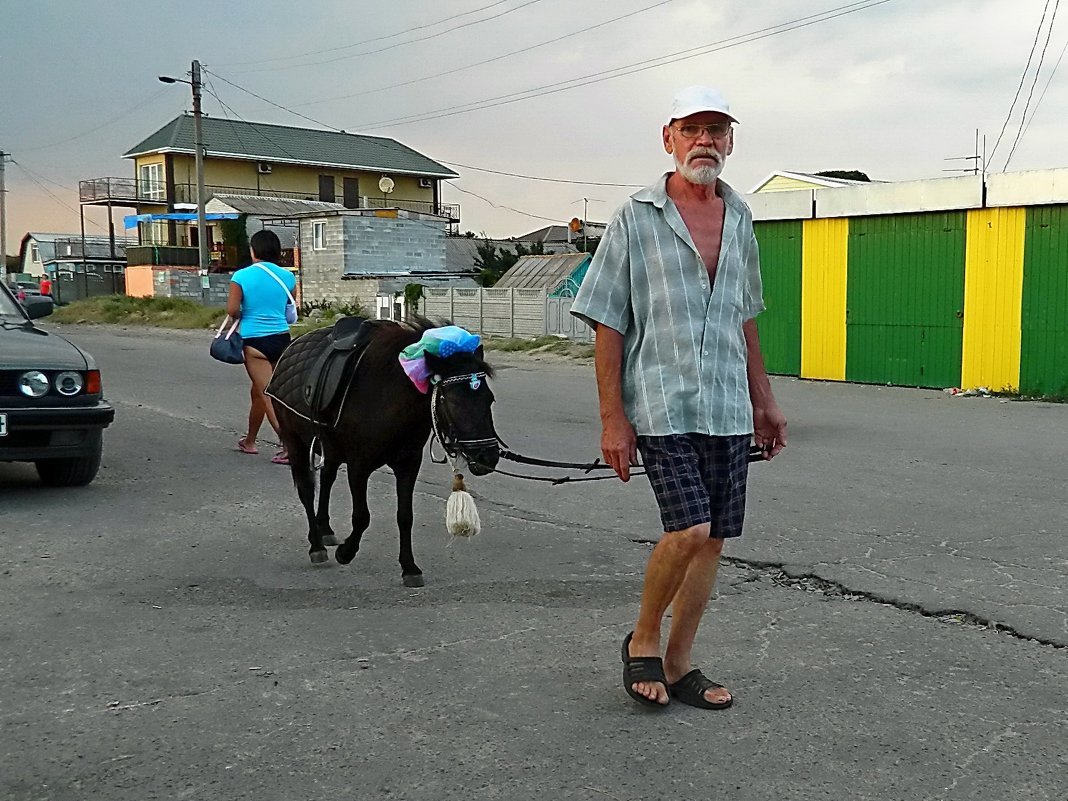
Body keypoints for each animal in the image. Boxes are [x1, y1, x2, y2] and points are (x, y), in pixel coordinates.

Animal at [267, 316, 499, 585]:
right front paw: (346, 552)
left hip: (331, 448)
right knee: (306, 489)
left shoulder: (408, 464)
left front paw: (409, 567)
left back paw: (324, 529)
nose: (488, 456)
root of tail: (292, 346)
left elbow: (405, 516)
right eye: (453, 401)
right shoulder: (359, 466)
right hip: (296, 441)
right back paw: (317, 545)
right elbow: (362, 516)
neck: (387, 397)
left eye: (489, 399)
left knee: (327, 478)